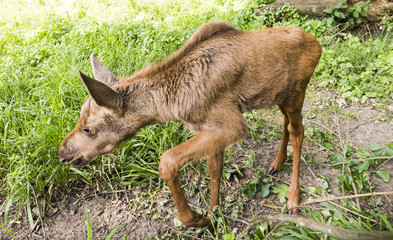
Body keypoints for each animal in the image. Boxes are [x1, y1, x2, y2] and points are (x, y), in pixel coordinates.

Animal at [59, 22, 322, 227]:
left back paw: (293, 200)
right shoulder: (212, 129)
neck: (172, 103)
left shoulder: (233, 125)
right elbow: (215, 171)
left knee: (298, 131)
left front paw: (196, 219)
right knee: (286, 123)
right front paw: (214, 216)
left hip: (296, 92)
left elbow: (167, 160)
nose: (62, 153)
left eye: (88, 129)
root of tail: (318, 44)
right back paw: (277, 163)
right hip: (279, 96)